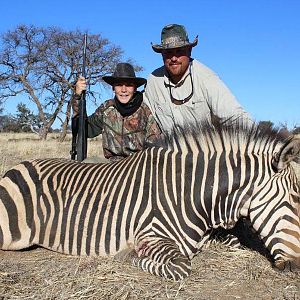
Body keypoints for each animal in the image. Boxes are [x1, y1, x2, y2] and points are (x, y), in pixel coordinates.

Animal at [0, 120, 298, 280]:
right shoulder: (151, 236)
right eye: (293, 201)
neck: (191, 194)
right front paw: (129, 255)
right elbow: (180, 266)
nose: (296, 267)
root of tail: (20, 165)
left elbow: (233, 243)